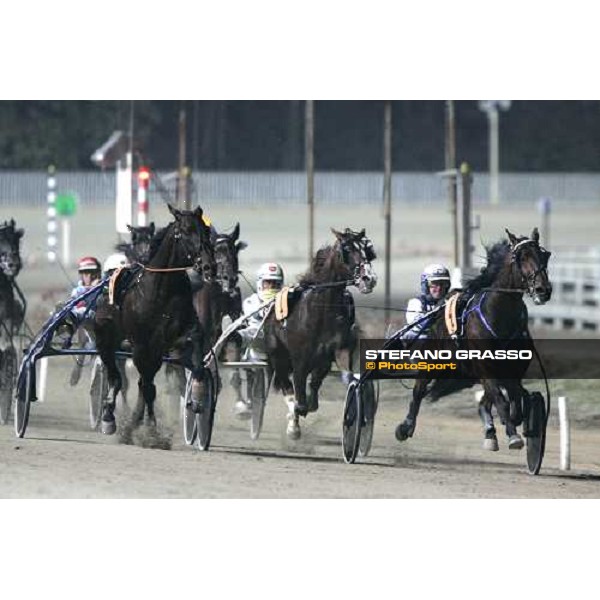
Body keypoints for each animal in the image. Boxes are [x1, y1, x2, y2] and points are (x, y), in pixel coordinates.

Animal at [94, 204, 216, 434]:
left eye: (205, 231)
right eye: (185, 231)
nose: (208, 266)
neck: (161, 290)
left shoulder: (178, 336)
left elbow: (196, 357)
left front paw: (198, 398)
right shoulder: (141, 345)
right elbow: (148, 387)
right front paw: (150, 427)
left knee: (143, 380)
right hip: (106, 339)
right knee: (117, 377)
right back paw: (109, 416)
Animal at [262, 227, 376, 438]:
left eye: (367, 249)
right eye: (347, 249)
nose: (369, 279)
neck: (322, 309)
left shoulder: (334, 353)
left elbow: (325, 385)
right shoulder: (299, 360)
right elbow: (299, 399)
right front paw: (295, 419)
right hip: (278, 356)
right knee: (286, 386)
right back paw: (293, 424)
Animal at [394, 229, 552, 450]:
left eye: (545, 255)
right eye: (521, 257)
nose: (542, 290)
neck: (499, 315)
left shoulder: (512, 370)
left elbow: (516, 399)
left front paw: (515, 424)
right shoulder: (485, 366)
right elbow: (501, 400)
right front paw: (513, 436)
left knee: (488, 401)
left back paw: (491, 431)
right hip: (431, 362)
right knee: (417, 393)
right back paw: (405, 427)